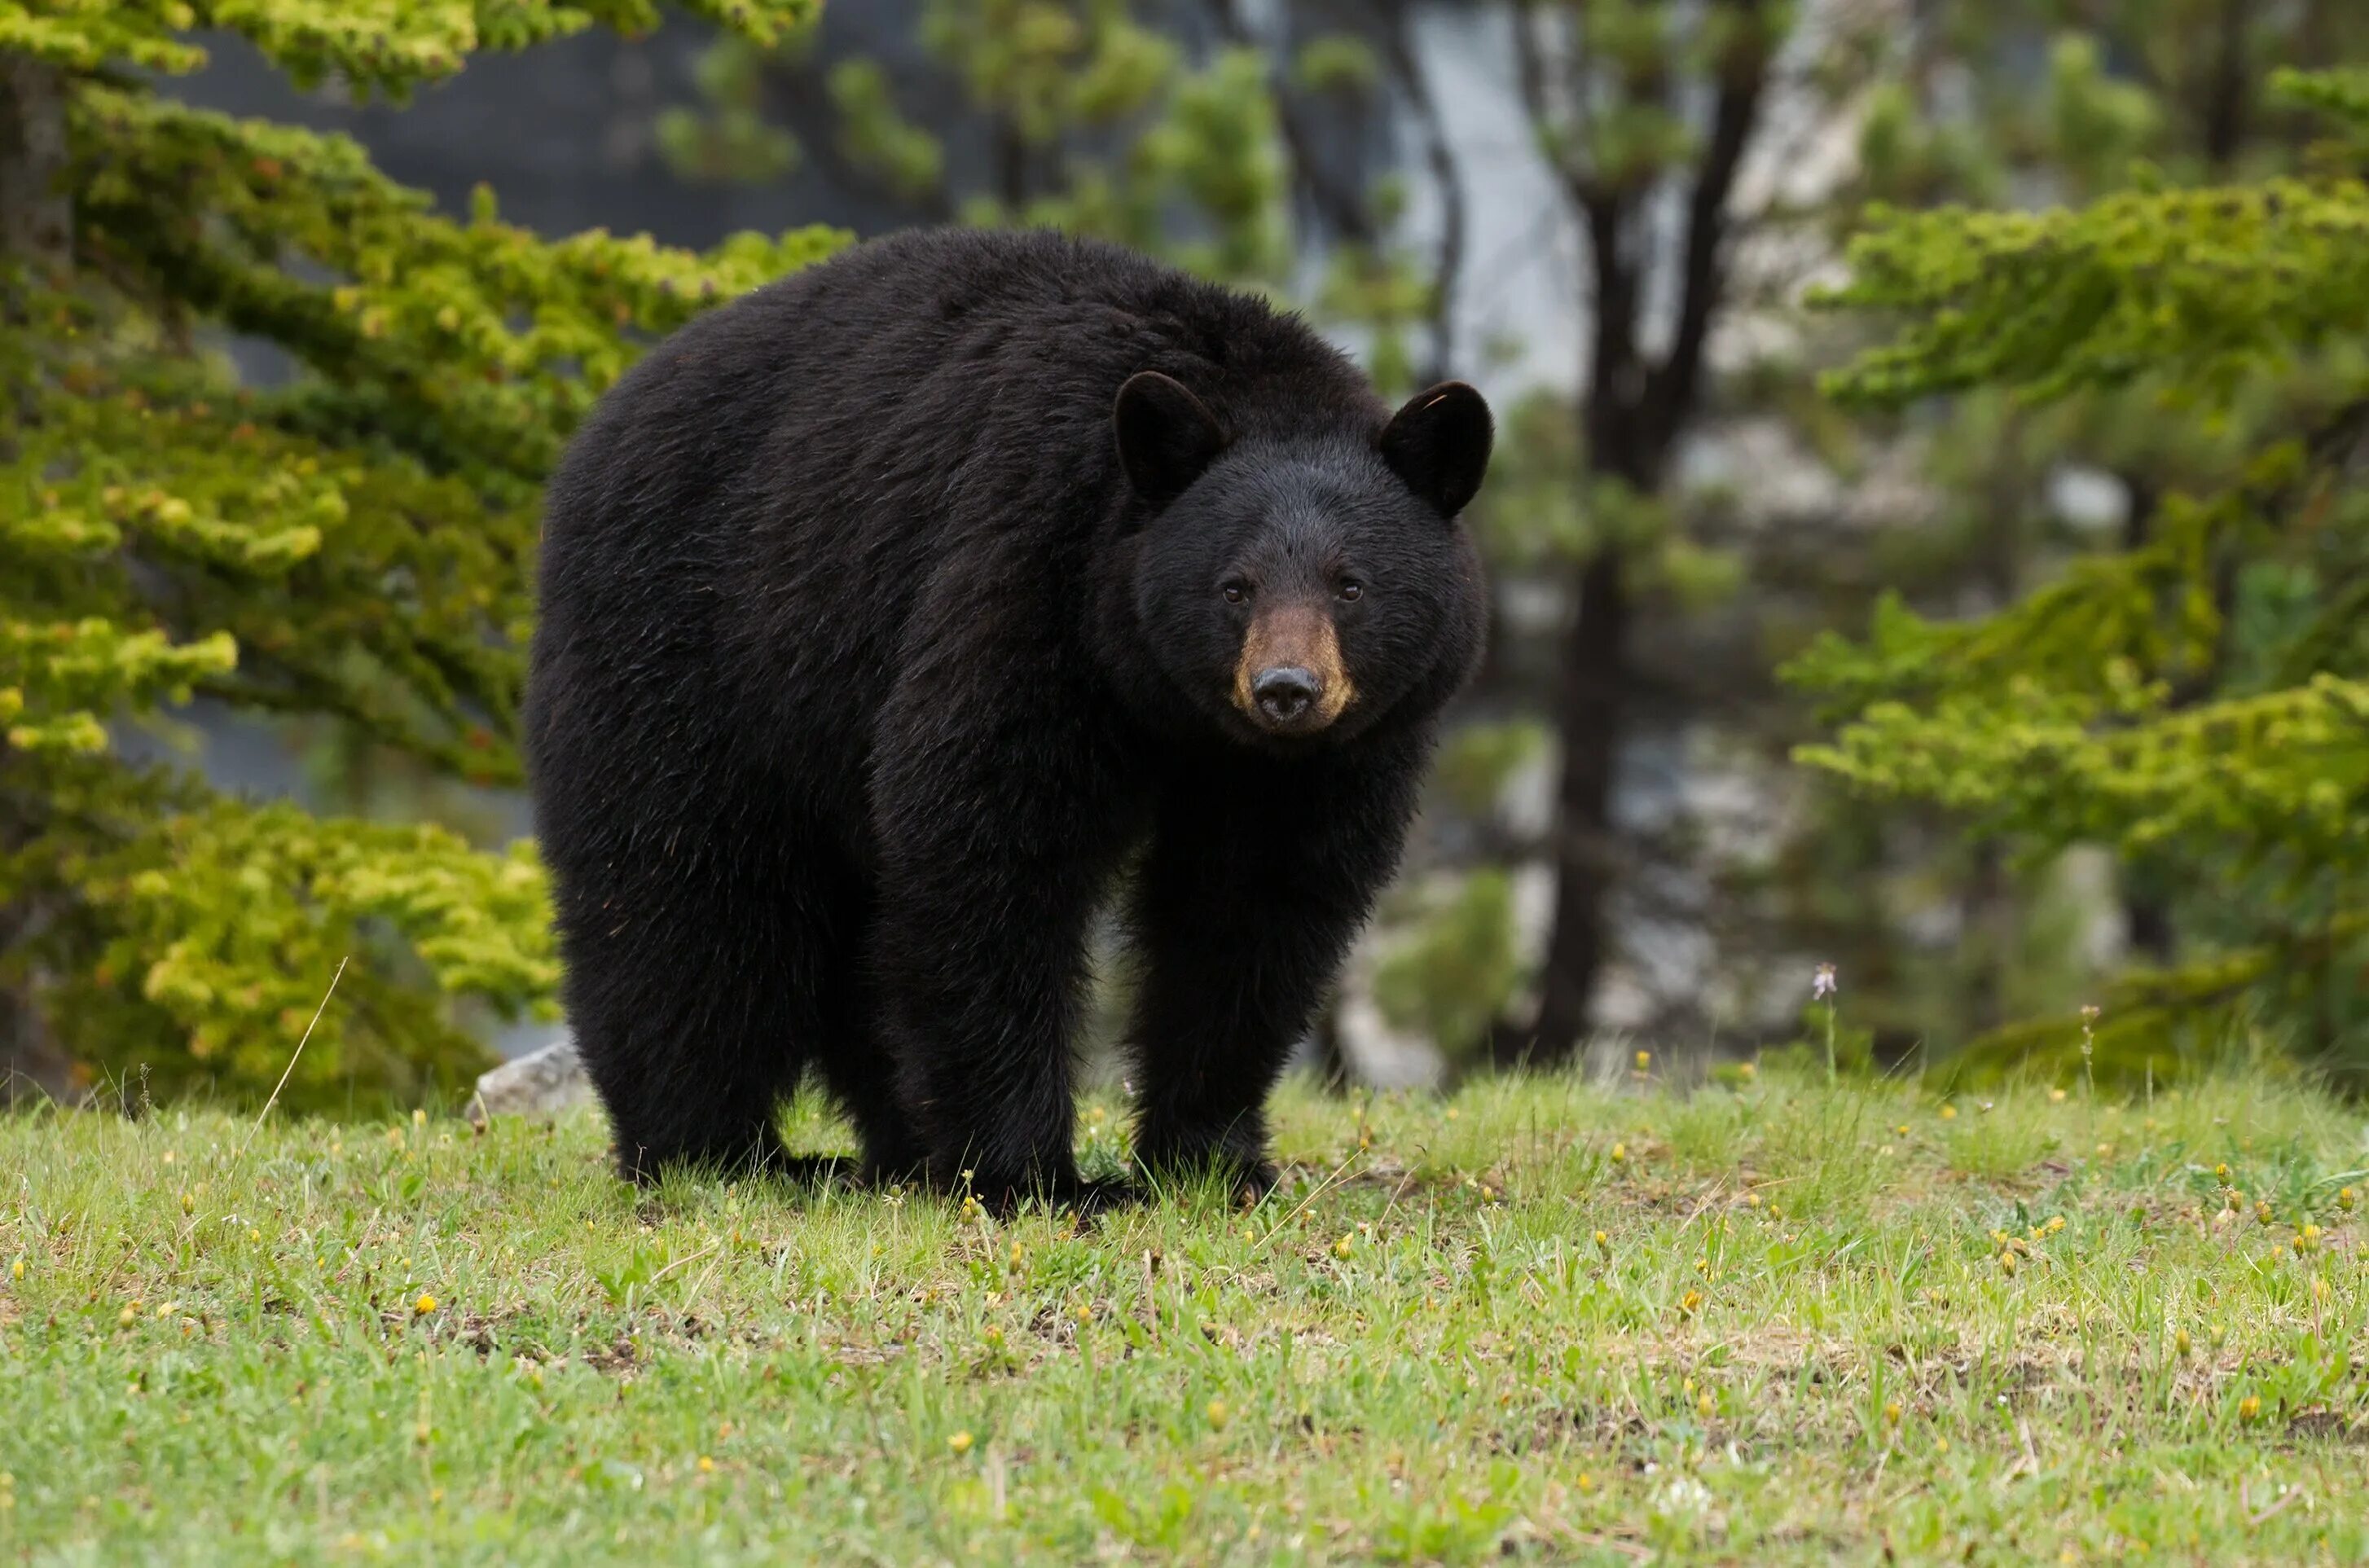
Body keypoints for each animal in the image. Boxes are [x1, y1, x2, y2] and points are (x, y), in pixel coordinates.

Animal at [528, 227, 1488, 1208]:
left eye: (1350, 584)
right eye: (1235, 585)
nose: (1286, 688)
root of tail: (601, 421)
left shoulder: (1316, 762)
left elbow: (1254, 903)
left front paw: (1211, 1158)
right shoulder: (1027, 574)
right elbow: (988, 842)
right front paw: (1036, 1176)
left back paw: (892, 1147)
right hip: (694, 644)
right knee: (684, 895)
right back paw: (716, 1151)